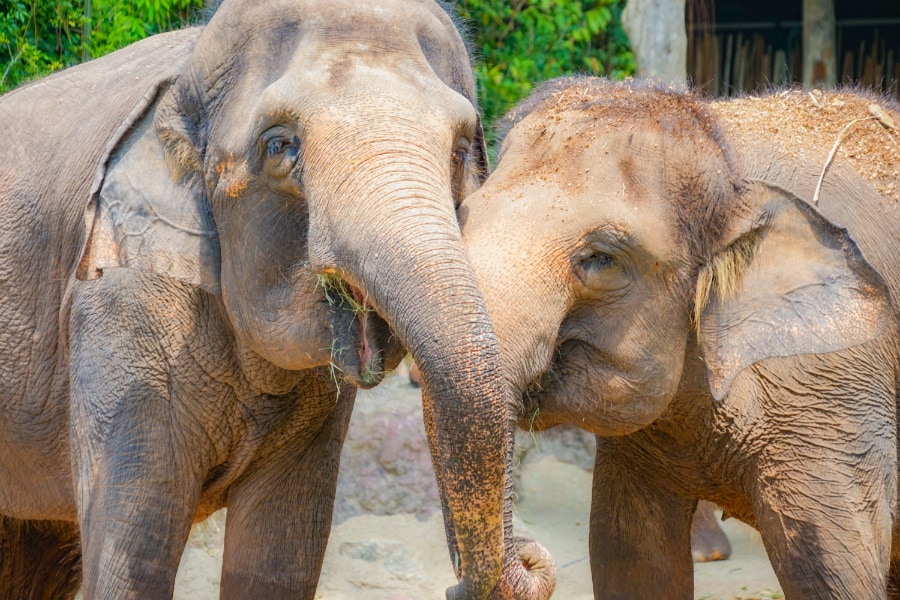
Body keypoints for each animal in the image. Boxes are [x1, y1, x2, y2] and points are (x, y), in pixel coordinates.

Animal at [0, 1, 548, 600]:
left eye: (459, 152)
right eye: (281, 146)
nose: (530, 557)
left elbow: (280, 551)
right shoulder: (119, 314)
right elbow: (135, 555)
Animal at [460, 78, 900, 596]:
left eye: (602, 259)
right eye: (463, 216)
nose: (531, 556)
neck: (729, 161)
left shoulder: (831, 404)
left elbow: (831, 574)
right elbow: (629, 557)